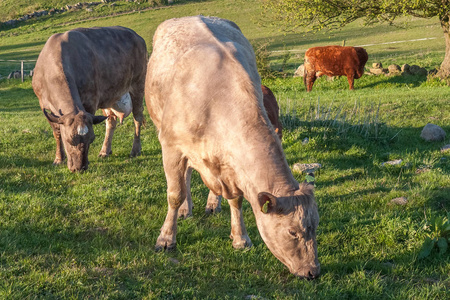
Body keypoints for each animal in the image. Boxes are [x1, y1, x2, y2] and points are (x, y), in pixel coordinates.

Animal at [145, 16, 320, 278]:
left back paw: (212, 204)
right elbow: (175, 194)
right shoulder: (172, 147)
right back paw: (187, 209)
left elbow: (236, 200)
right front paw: (166, 238)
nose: (313, 271)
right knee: (186, 176)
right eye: (292, 232)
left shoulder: (232, 166)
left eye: (315, 227)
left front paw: (240, 238)